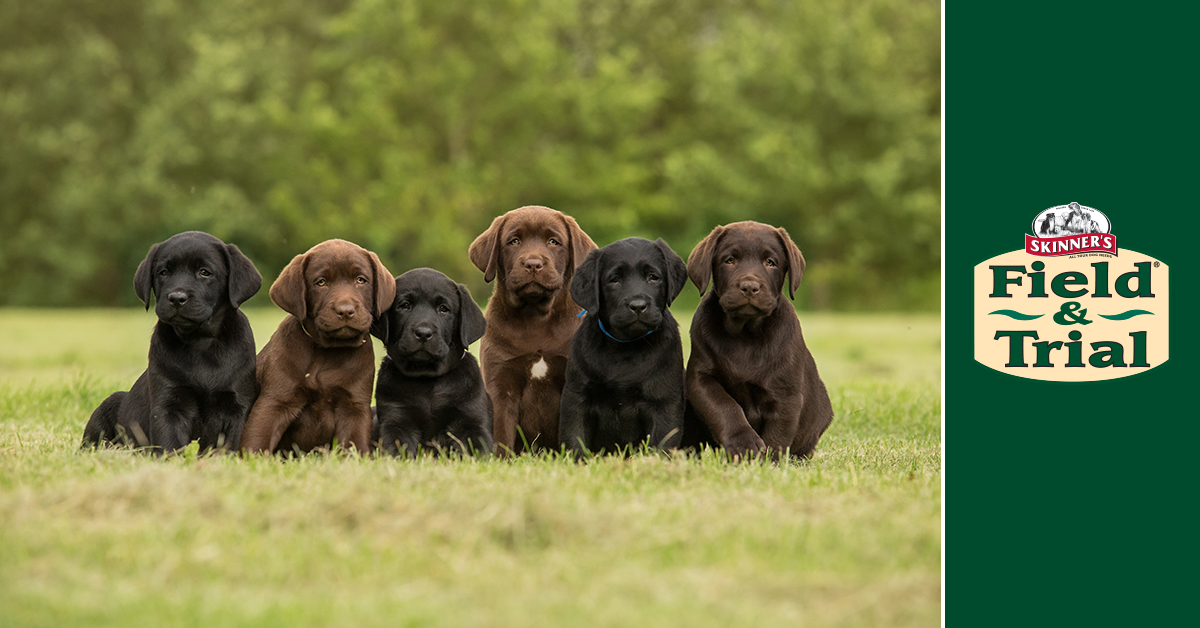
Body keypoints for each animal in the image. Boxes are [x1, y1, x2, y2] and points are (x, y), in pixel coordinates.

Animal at [82, 230, 265, 451]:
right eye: (163, 272)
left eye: (204, 272)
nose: (177, 298)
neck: (200, 342)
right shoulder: (168, 404)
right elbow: (169, 443)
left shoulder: (238, 406)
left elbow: (231, 444)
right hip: (107, 408)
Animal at [369, 268, 492, 456]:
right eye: (405, 305)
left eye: (443, 309)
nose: (423, 333)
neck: (427, 378)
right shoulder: (395, 419)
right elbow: (397, 449)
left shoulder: (471, 420)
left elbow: (479, 451)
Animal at [559, 237, 691, 456]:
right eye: (614, 280)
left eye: (653, 277)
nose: (638, 306)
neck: (626, 347)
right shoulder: (576, 397)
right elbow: (574, 439)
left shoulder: (665, 401)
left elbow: (661, 443)